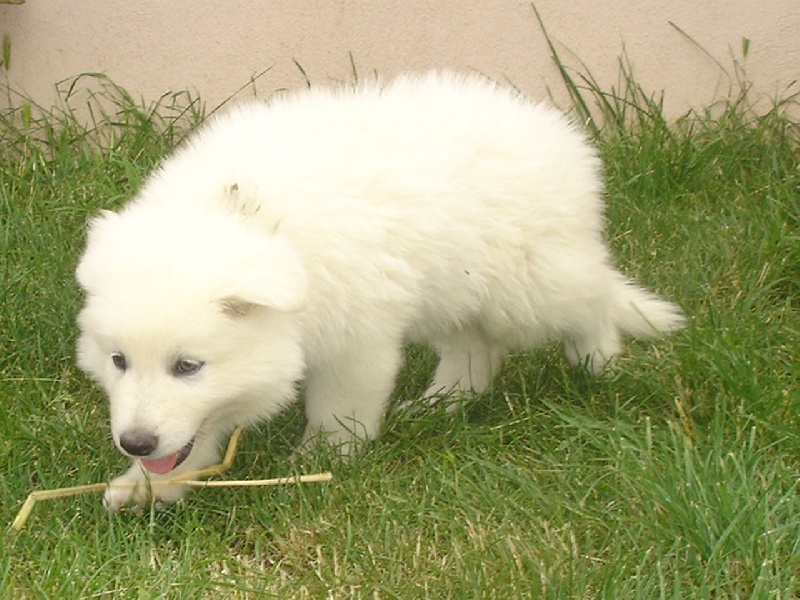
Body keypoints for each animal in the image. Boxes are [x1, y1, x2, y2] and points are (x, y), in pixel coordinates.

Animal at [75, 72, 685, 510]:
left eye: (188, 366)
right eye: (118, 360)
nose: (134, 442)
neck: (259, 219)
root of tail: (556, 128)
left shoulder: (357, 334)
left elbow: (338, 407)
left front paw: (319, 460)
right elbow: (196, 431)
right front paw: (147, 486)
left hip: (526, 282)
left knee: (592, 293)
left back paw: (599, 362)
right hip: (452, 284)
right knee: (476, 349)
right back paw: (442, 404)